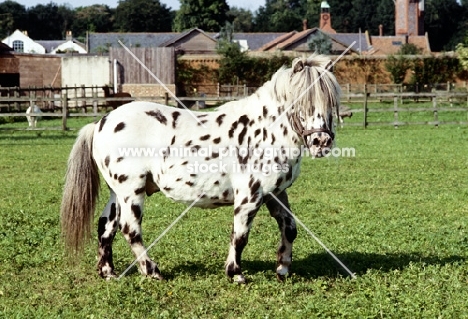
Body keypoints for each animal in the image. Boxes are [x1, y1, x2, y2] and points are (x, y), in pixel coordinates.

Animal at [61, 54, 340, 282]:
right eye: (302, 102)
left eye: (329, 102)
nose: (321, 142)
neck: (265, 131)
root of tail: (101, 122)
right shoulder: (249, 196)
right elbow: (240, 235)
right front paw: (235, 273)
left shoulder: (276, 194)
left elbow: (289, 228)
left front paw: (282, 268)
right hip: (131, 192)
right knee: (130, 229)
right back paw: (152, 271)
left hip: (117, 193)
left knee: (106, 226)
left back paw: (108, 272)